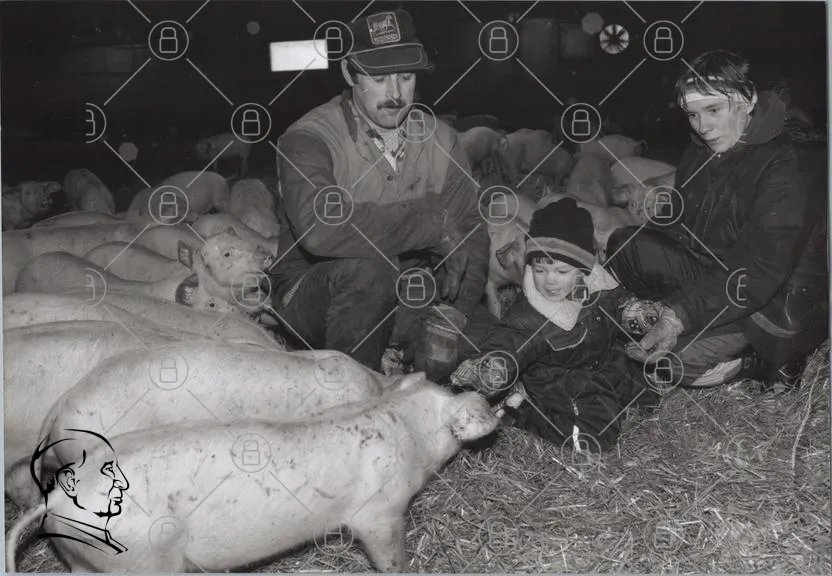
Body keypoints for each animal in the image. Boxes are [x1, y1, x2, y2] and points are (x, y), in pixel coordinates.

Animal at [19, 372, 498, 573]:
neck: (406, 427)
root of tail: (54, 499)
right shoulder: (380, 512)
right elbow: (390, 555)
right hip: (141, 560)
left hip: (84, 558)